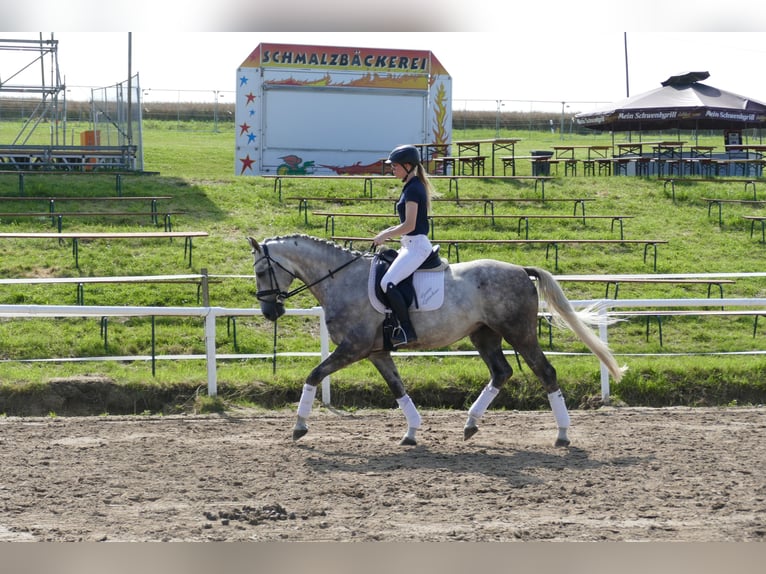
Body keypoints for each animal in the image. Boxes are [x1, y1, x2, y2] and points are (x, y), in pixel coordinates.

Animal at [249, 235, 628, 450]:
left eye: (261, 271)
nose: (270, 311)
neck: (340, 279)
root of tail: (521, 269)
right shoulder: (376, 352)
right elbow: (398, 388)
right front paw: (412, 432)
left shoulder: (353, 348)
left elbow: (313, 376)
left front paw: (299, 427)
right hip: (483, 333)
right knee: (501, 372)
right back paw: (471, 424)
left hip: (518, 332)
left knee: (545, 372)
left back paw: (562, 435)